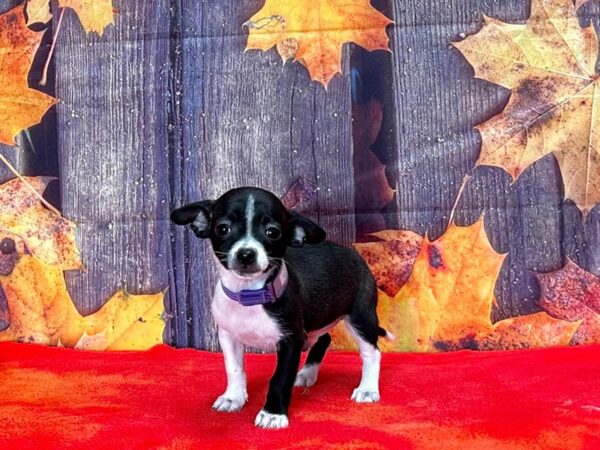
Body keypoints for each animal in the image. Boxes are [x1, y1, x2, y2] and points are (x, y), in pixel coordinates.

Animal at [171, 186, 392, 428]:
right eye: (222, 228)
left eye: (272, 232)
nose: (246, 254)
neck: (250, 295)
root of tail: (352, 252)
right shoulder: (228, 337)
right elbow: (234, 369)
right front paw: (233, 397)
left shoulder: (291, 340)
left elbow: (280, 378)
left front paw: (273, 413)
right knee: (323, 338)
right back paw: (307, 373)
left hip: (360, 318)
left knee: (372, 352)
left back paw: (367, 388)